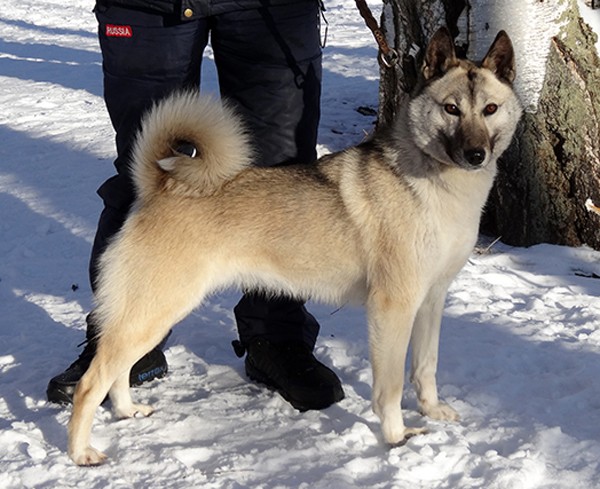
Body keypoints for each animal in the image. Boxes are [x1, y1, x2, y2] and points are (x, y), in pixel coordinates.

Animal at [66, 27, 522, 465]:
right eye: (451, 109)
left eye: (490, 109)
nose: (476, 154)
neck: (433, 183)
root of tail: (162, 186)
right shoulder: (393, 308)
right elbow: (390, 388)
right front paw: (396, 438)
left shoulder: (431, 301)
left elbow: (425, 368)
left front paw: (432, 411)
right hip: (156, 310)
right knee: (92, 381)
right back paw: (81, 451)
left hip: (152, 315)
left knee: (118, 371)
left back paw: (127, 410)